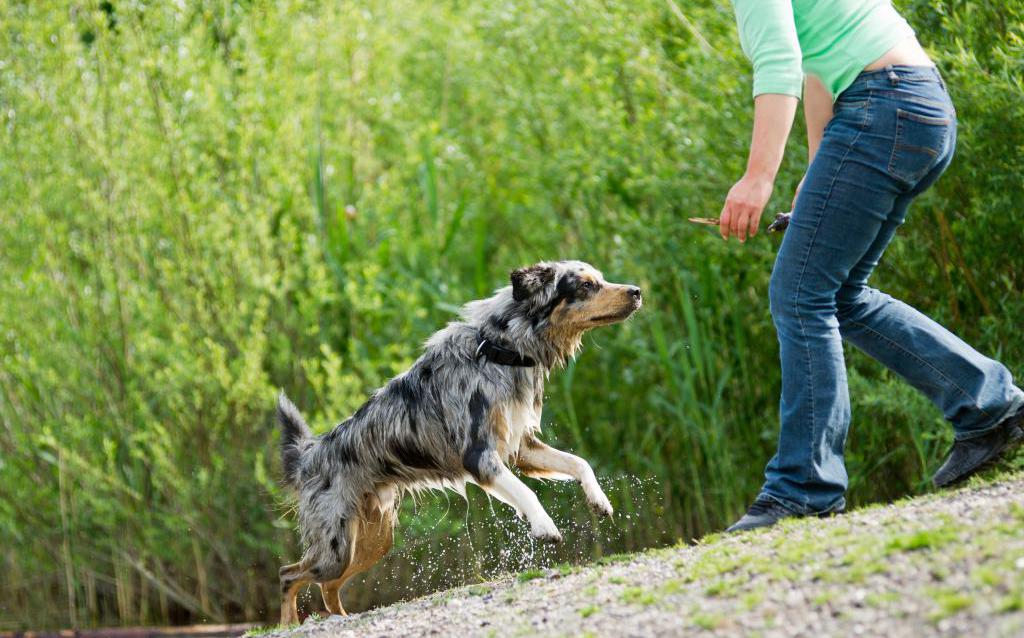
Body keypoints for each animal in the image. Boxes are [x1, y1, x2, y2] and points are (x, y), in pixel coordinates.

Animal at [272, 260, 638, 622]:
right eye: (586, 286)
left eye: (601, 279)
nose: (637, 291)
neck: (501, 351)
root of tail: (309, 456)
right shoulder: (479, 456)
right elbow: (527, 492)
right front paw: (543, 525)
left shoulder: (522, 448)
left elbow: (579, 462)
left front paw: (599, 500)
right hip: (334, 548)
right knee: (288, 574)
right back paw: (290, 623)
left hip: (371, 541)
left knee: (326, 586)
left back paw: (342, 617)